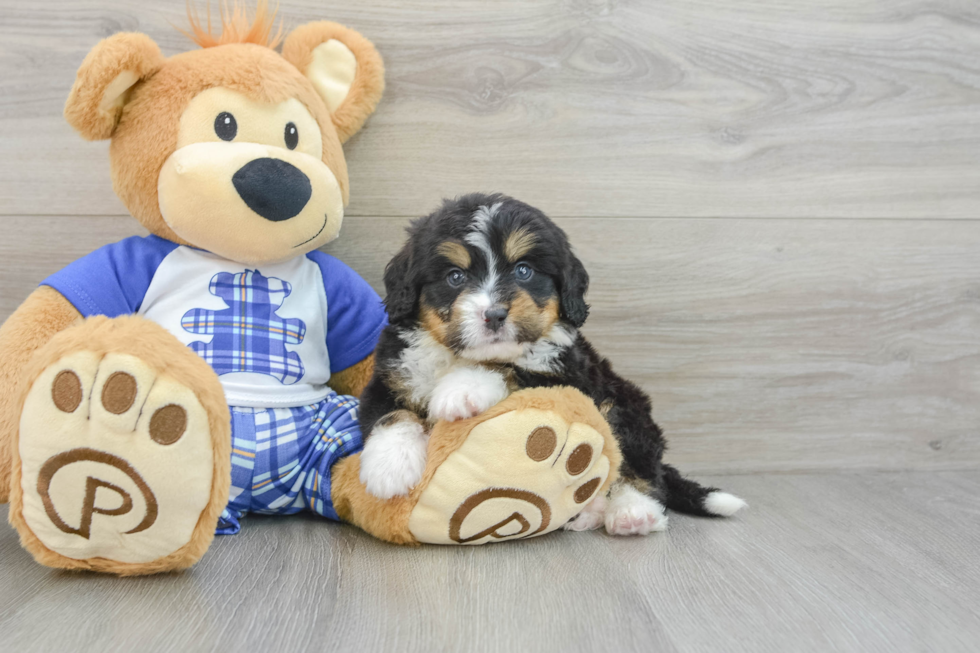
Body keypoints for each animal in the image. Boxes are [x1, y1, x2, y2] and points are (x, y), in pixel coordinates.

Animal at [356, 194, 748, 536]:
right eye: (455, 276)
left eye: (524, 270)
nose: (494, 314)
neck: (460, 354)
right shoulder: (390, 375)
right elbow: (390, 415)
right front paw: (388, 467)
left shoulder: (568, 376)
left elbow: (509, 368)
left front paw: (460, 389)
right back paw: (588, 514)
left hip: (623, 407)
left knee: (642, 471)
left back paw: (631, 512)